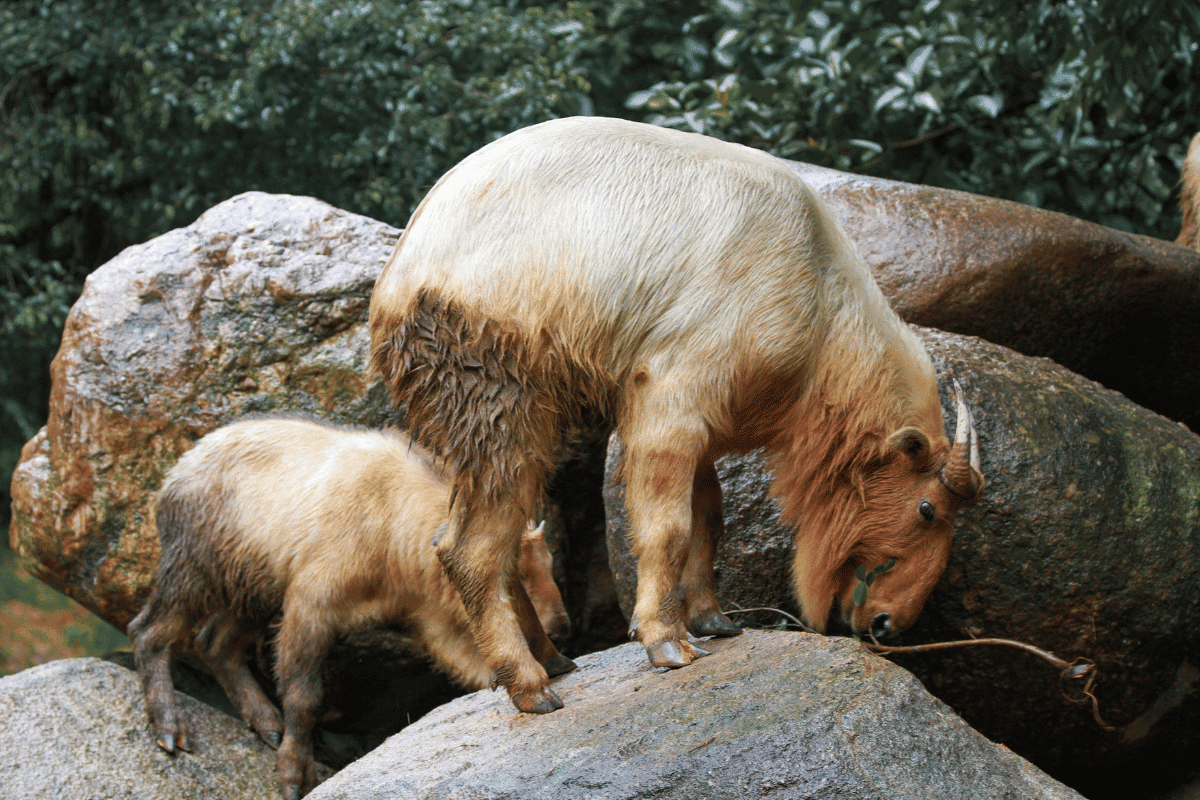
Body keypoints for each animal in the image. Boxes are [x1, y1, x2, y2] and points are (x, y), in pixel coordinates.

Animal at [125, 417, 571, 796]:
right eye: (516, 573)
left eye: (549, 564)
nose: (562, 626)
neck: (390, 516)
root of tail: (174, 473)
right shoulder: (310, 603)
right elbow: (304, 698)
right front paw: (293, 775)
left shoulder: (431, 618)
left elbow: (471, 668)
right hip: (194, 573)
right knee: (148, 631)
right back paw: (169, 728)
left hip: (251, 588)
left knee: (216, 646)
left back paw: (266, 723)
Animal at [372, 113, 984, 714]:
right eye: (928, 508)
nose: (888, 623)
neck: (821, 304)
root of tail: (392, 283)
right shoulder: (671, 397)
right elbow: (669, 527)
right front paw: (666, 640)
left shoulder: (706, 421)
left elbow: (709, 517)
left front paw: (713, 618)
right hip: (499, 398)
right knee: (468, 551)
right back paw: (529, 685)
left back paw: (551, 657)